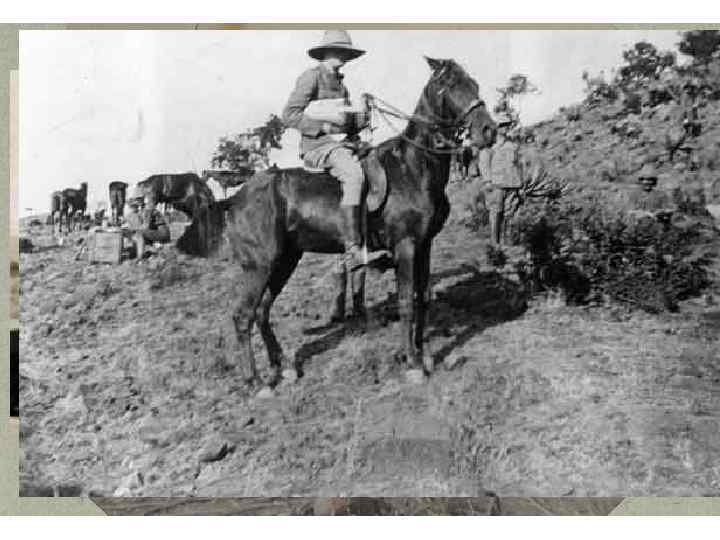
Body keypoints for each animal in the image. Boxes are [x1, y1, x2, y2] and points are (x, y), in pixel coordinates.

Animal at [177, 57, 497, 387]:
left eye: (474, 84)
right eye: (450, 86)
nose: (489, 130)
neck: (412, 167)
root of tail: (234, 199)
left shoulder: (424, 247)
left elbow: (422, 300)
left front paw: (423, 353)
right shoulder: (406, 247)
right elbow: (407, 303)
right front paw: (413, 363)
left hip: (285, 260)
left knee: (263, 310)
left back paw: (283, 366)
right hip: (260, 265)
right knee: (244, 315)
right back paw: (256, 382)